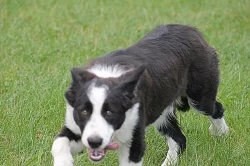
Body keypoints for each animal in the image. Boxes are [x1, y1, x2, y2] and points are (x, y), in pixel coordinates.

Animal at [51, 24, 229, 165]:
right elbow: (59, 142)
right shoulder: (77, 127)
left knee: (215, 108)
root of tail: (192, 30)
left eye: (110, 112)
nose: (95, 142)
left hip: (199, 95)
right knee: (179, 139)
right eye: (84, 111)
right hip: (161, 110)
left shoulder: (134, 139)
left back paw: (221, 132)